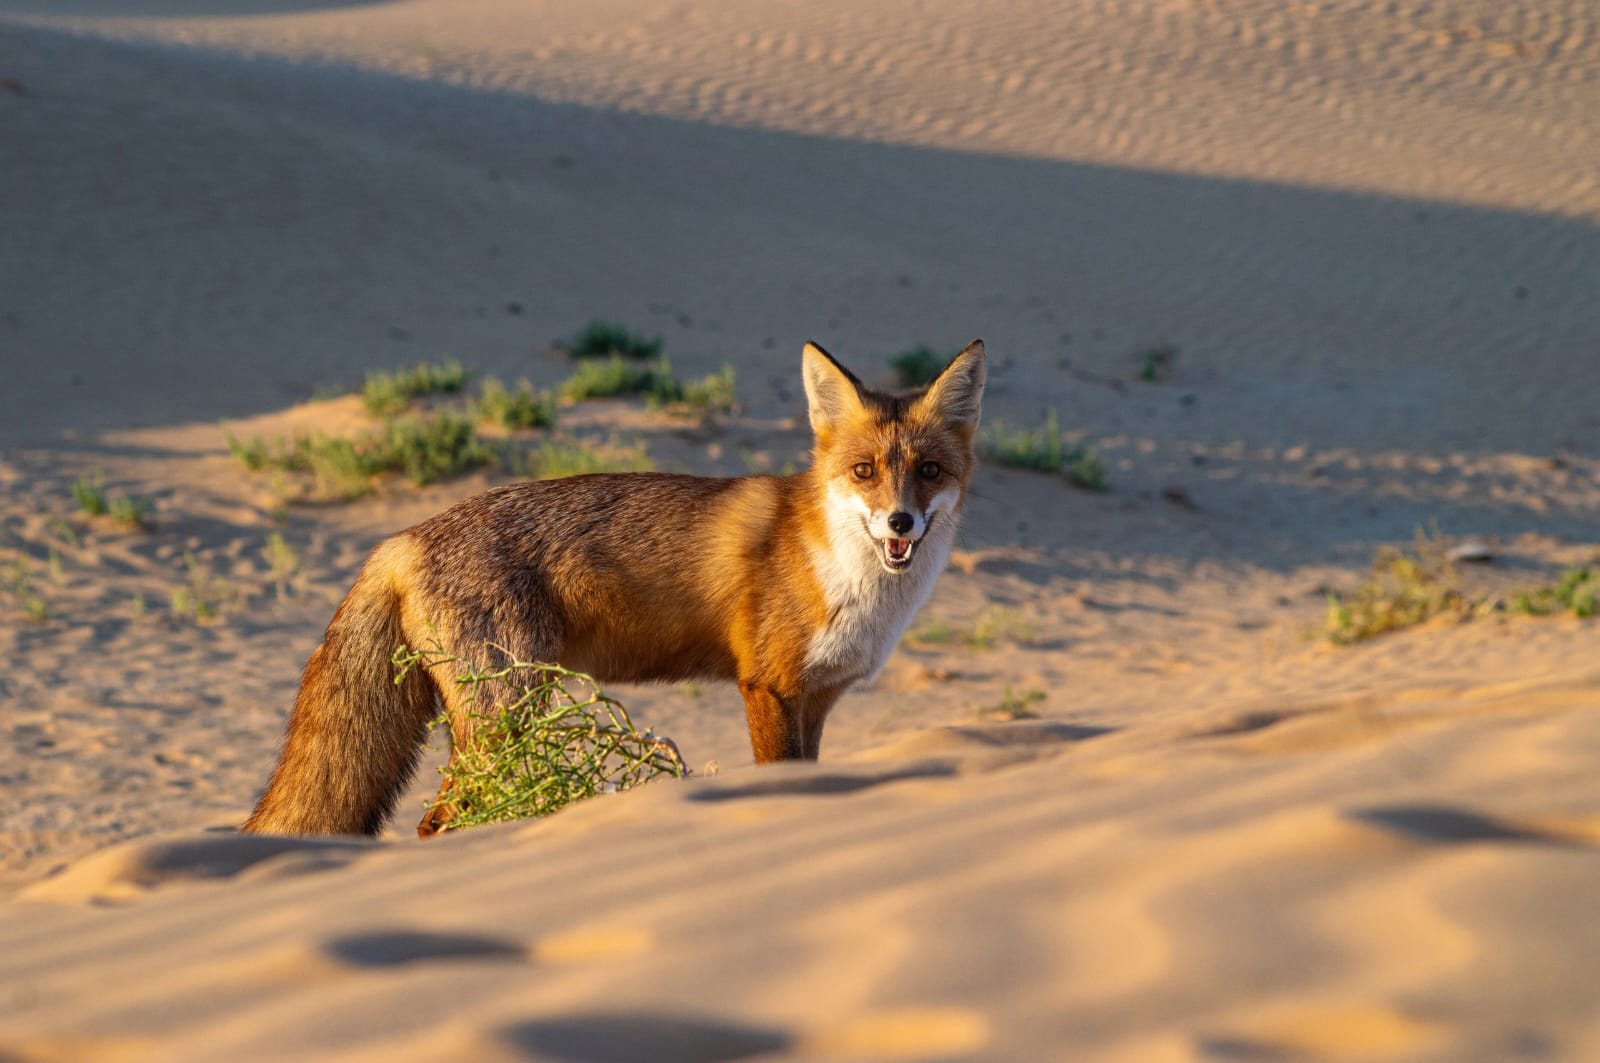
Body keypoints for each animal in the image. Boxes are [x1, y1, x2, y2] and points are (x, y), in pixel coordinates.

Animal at [241, 340, 979, 838]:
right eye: (864, 471)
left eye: (930, 471)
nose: (900, 522)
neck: (850, 579)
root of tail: (401, 537)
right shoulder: (768, 688)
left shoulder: (817, 698)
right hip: (508, 712)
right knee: (437, 820)